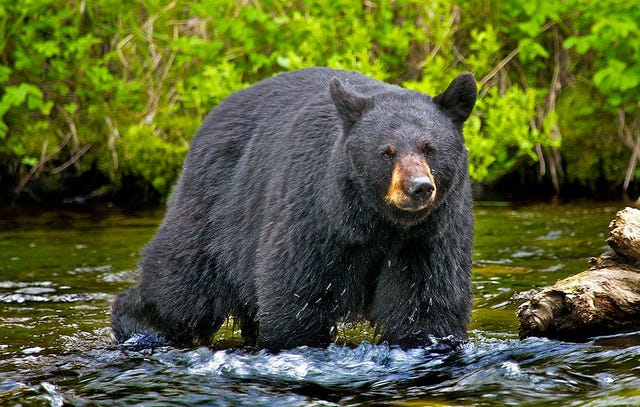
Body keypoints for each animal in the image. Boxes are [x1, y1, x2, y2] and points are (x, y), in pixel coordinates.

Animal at [112, 67, 478, 350]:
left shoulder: (429, 238)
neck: (377, 224)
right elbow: (296, 296)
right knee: (181, 286)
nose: (418, 187)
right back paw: (140, 325)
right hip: (215, 211)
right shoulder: (314, 218)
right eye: (386, 152)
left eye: (429, 148)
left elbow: (426, 305)